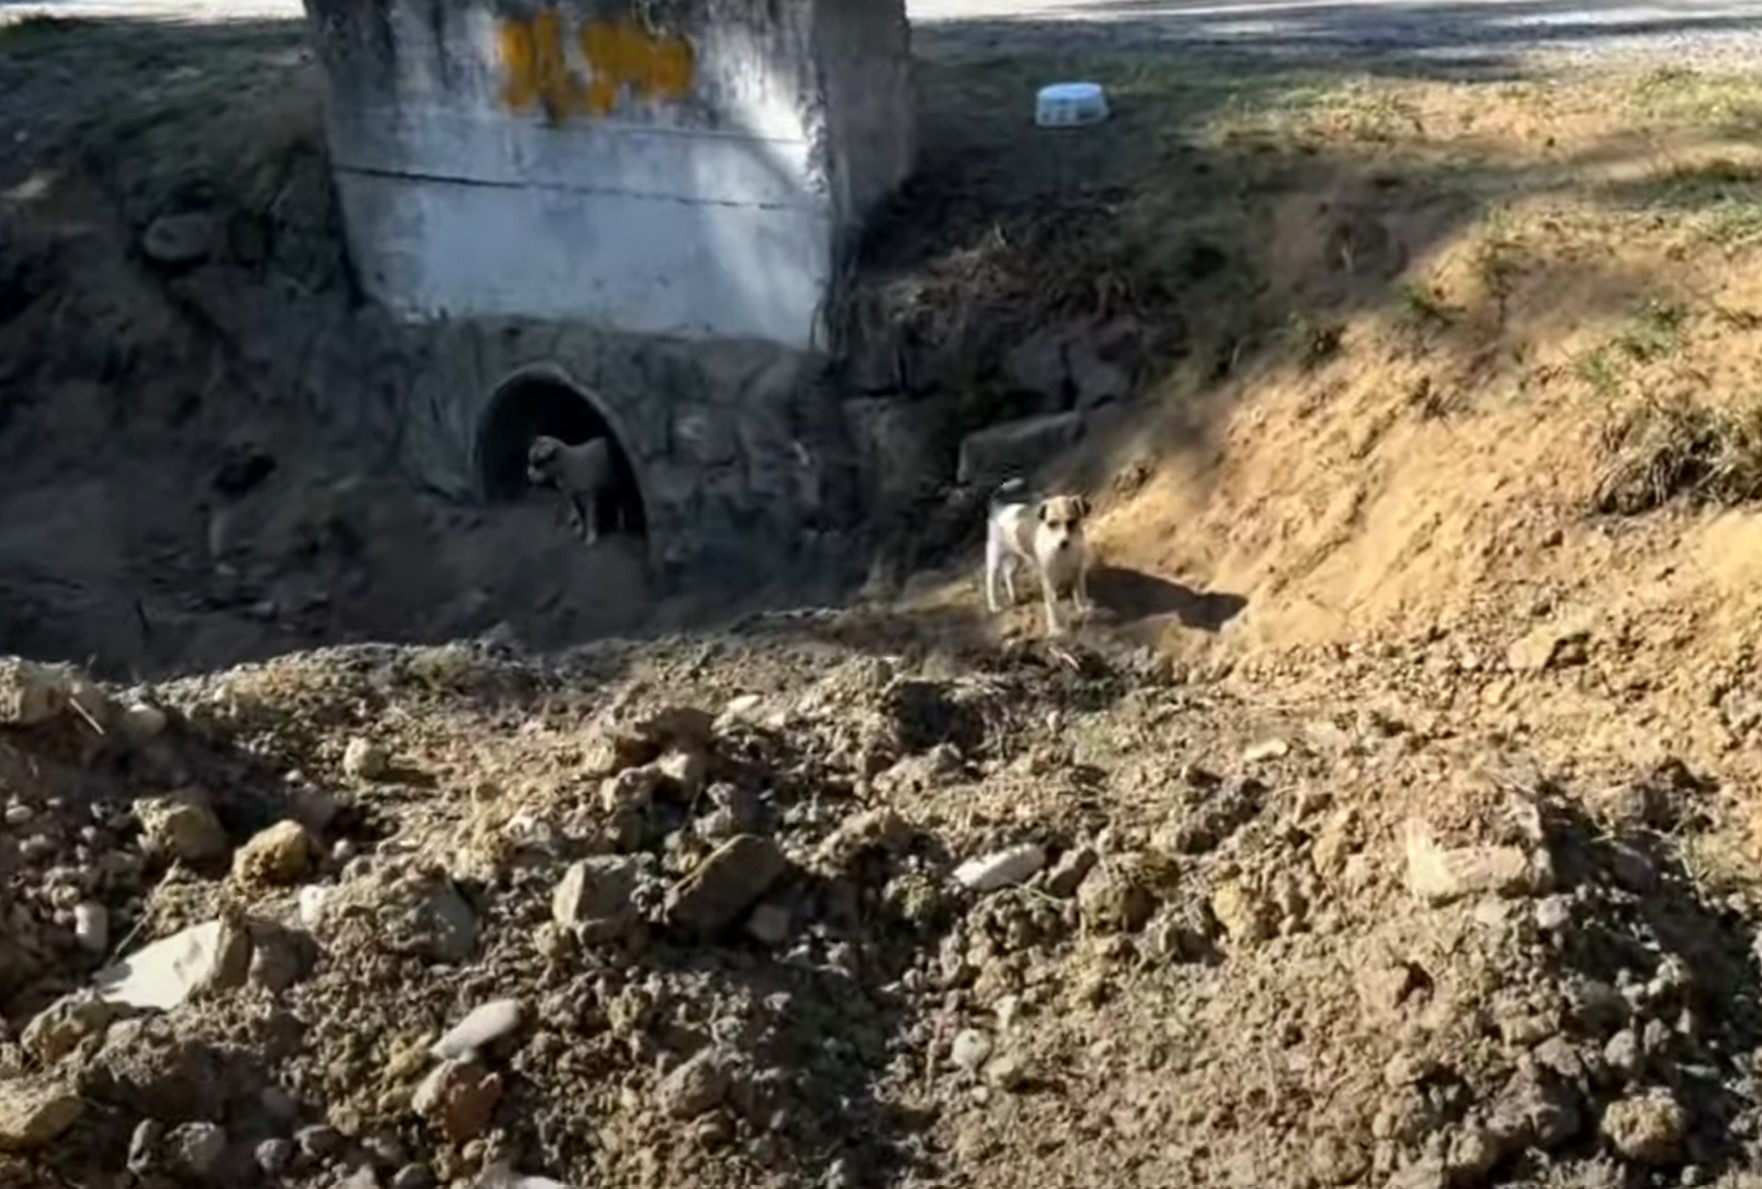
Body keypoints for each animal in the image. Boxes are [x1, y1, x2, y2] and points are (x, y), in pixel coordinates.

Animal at [986, 479, 1092, 637]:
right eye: (1052, 524)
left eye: (1071, 522)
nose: (1063, 542)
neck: (1063, 553)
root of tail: (1001, 509)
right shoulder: (1048, 579)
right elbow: (1052, 606)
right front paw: (1055, 629)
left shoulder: (1078, 572)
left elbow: (1079, 592)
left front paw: (1083, 608)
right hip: (995, 556)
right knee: (991, 580)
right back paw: (994, 605)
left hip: (1019, 557)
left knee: (1009, 575)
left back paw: (1013, 595)